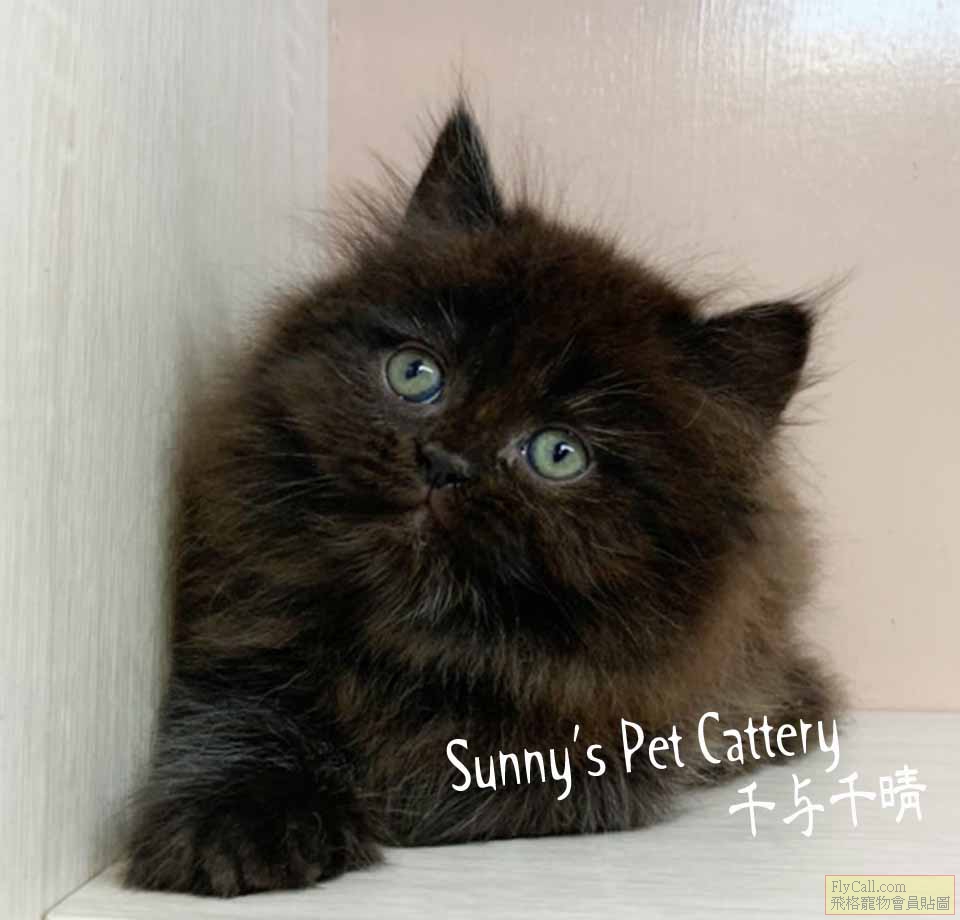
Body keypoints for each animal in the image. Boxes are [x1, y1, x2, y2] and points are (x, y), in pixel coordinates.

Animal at [124, 101, 838, 897]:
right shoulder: (239, 643)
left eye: (559, 453)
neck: (410, 643)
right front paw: (243, 827)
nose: (444, 464)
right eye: (415, 374)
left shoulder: (602, 753)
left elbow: (456, 780)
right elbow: (234, 722)